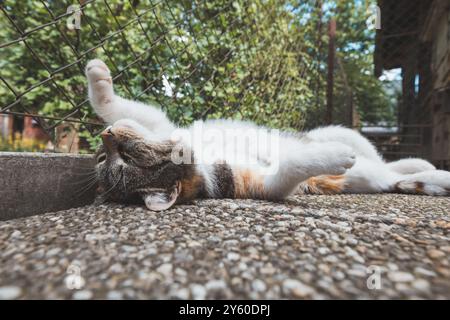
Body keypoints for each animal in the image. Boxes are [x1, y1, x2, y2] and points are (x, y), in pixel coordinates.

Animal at [87, 58, 450, 211]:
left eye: (121, 153)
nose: (106, 136)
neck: (201, 155)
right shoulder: (253, 184)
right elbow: (287, 170)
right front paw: (331, 157)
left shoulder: (163, 125)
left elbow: (120, 108)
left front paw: (98, 76)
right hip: (373, 174)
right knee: (393, 175)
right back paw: (435, 176)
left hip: (340, 130)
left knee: (384, 158)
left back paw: (419, 163)